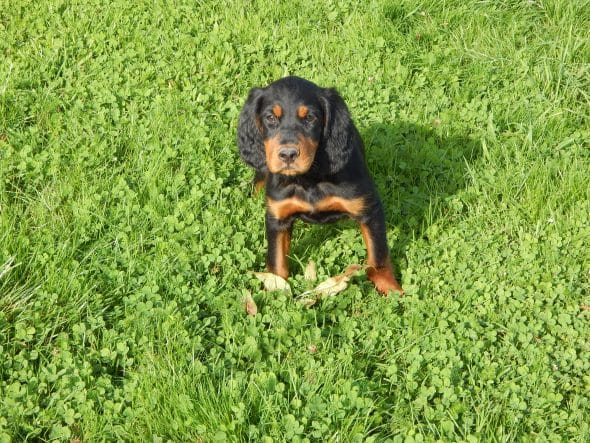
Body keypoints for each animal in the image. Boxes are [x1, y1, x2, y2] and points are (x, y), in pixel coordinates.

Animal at [238, 77, 404, 294]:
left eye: (310, 118)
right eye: (270, 118)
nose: (288, 155)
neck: (308, 179)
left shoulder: (369, 209)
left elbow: (378, 255)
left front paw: (390, 288)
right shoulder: (277, 216)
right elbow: (276, 260)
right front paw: (275, 288)